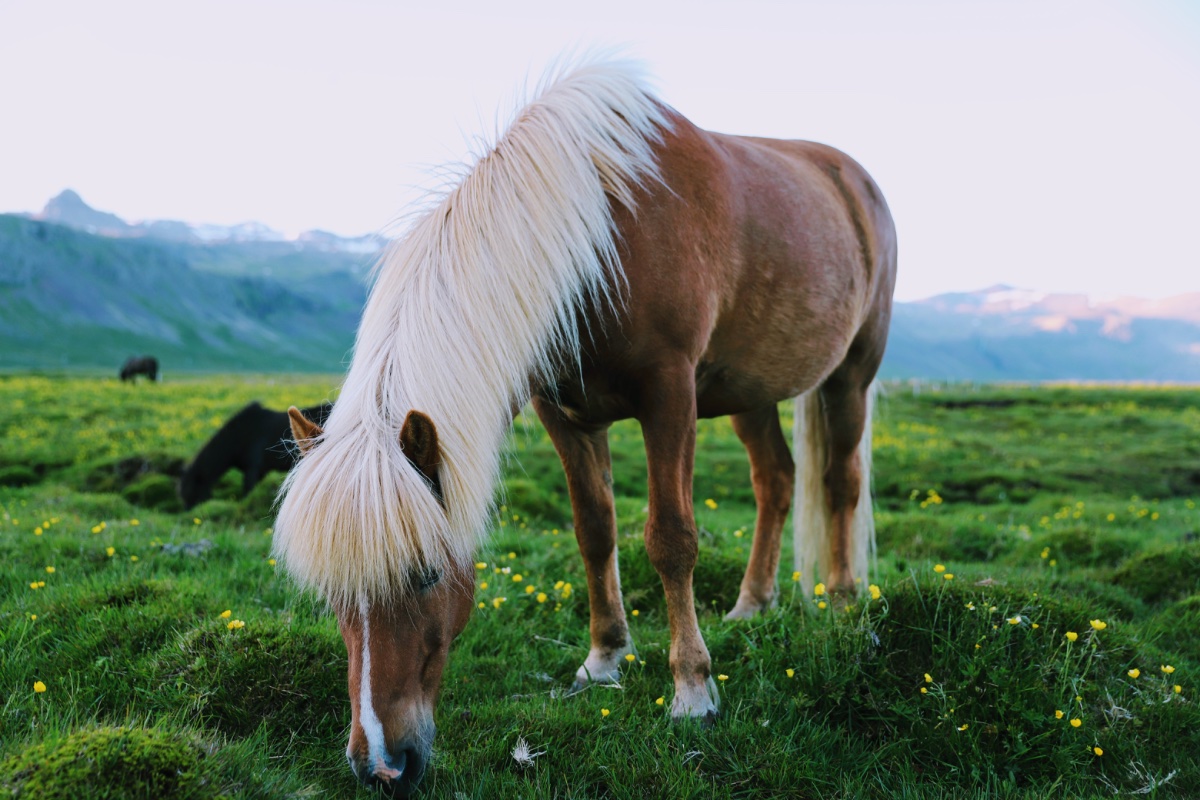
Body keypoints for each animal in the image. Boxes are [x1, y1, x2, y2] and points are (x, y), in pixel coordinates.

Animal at [276, 59, 896, 796]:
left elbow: (671, 538)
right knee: (775, 479)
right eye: (332, 595)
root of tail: (853, 178)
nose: (380, 764)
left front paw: (693, 692)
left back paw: (845, 604)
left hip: (850, 375)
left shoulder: (670, 393)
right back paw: (752, 604)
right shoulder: (564, 414)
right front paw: (604, 659)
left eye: (426, 574)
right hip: (751, 391)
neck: (602, 232)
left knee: (841, 480)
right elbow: (595, 531)